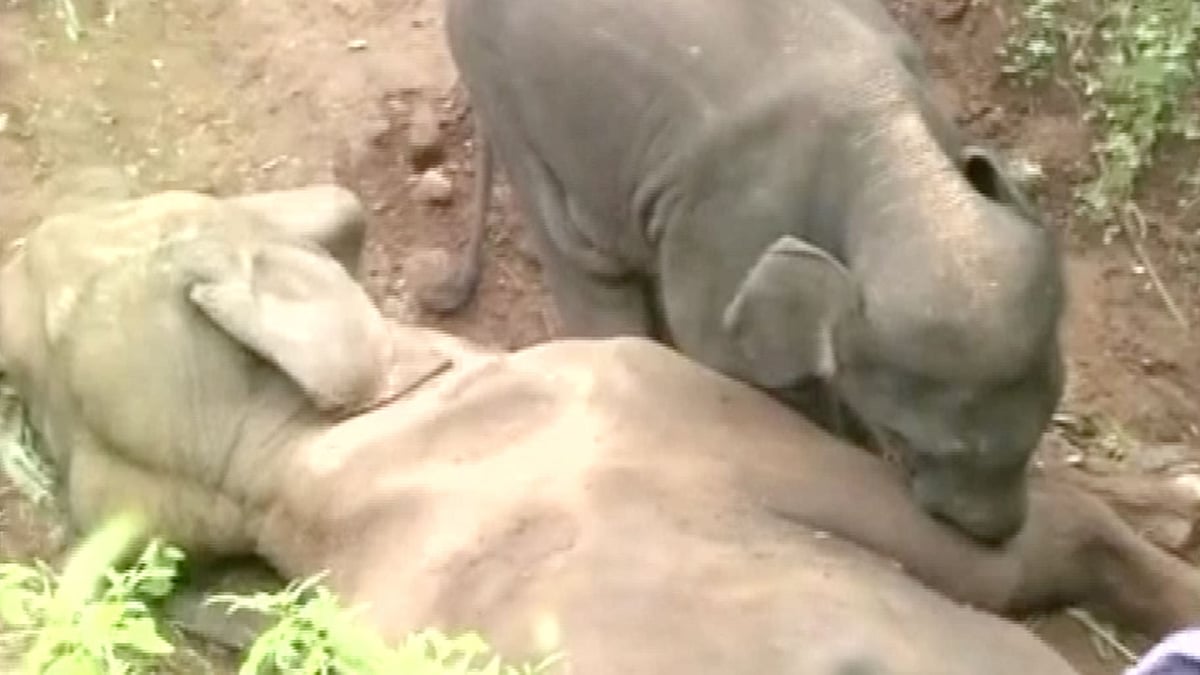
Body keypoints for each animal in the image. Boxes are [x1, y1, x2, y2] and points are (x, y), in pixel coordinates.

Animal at [420, 0, 1067, 544]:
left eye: (1051, 411)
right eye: (909, 439)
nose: (997, 535)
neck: (893, 155)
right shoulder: (730, 222)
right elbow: (724, 351)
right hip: (505, 96)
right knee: (584, 260)